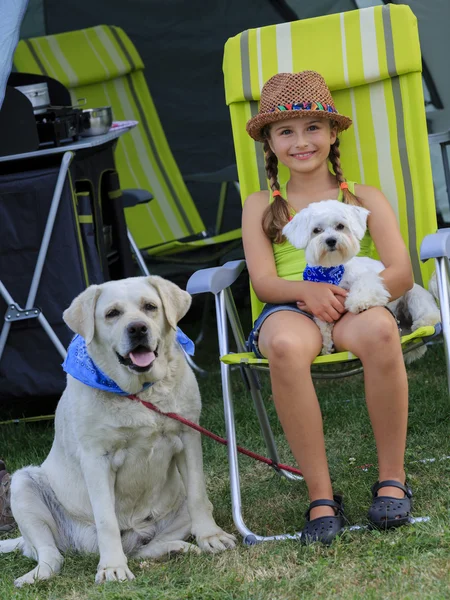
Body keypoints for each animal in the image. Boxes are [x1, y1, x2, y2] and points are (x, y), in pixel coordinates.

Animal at [282, 199, 440, 358]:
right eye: (316, 230)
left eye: (340, 226)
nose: (331, 240)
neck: (332, 270)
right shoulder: (319, 304)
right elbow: (323, 324)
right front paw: (326, 344)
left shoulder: (368, 277)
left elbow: (363, 286)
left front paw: (359, 302)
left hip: (415, 294)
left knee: (429, 311)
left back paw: (425, 322)